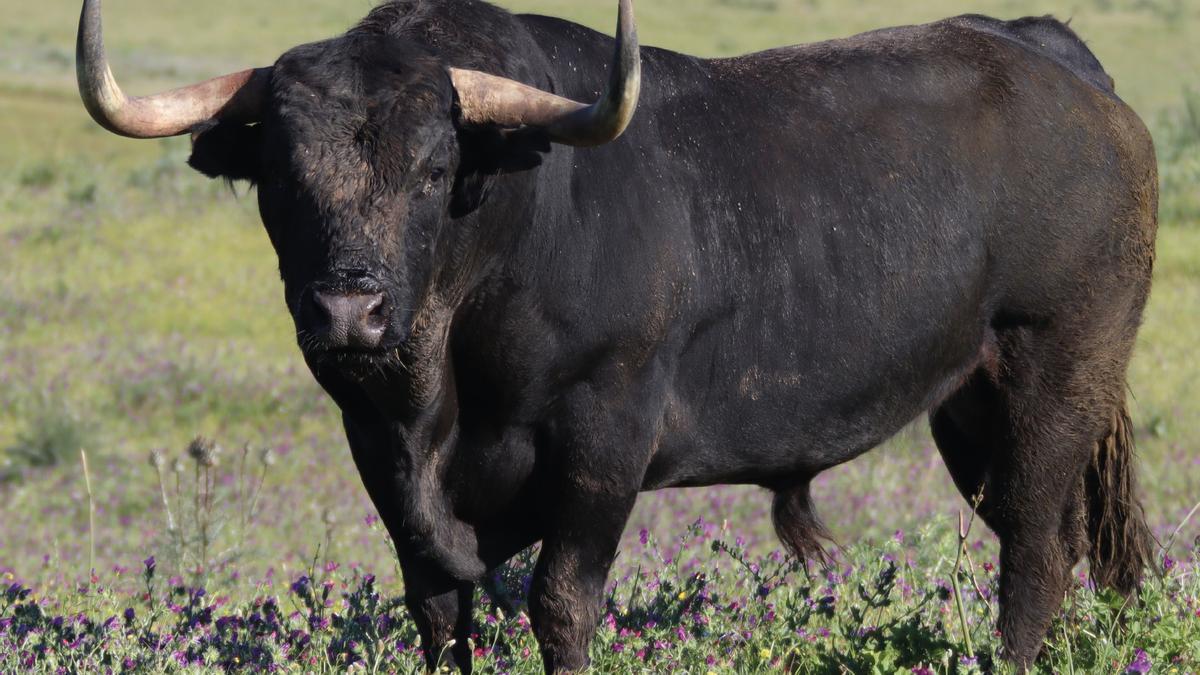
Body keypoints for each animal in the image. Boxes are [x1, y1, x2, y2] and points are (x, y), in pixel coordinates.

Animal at [77, 1, 1161, 667]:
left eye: (434, 170)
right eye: (280, 176)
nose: (350, 312)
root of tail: (1052, 60)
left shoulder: (606, 439)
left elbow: (560, 600)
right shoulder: (383, 459)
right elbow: (439, 608)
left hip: (1058, 368)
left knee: (1033, 549)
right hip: (970, 408)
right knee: (1054, 536)